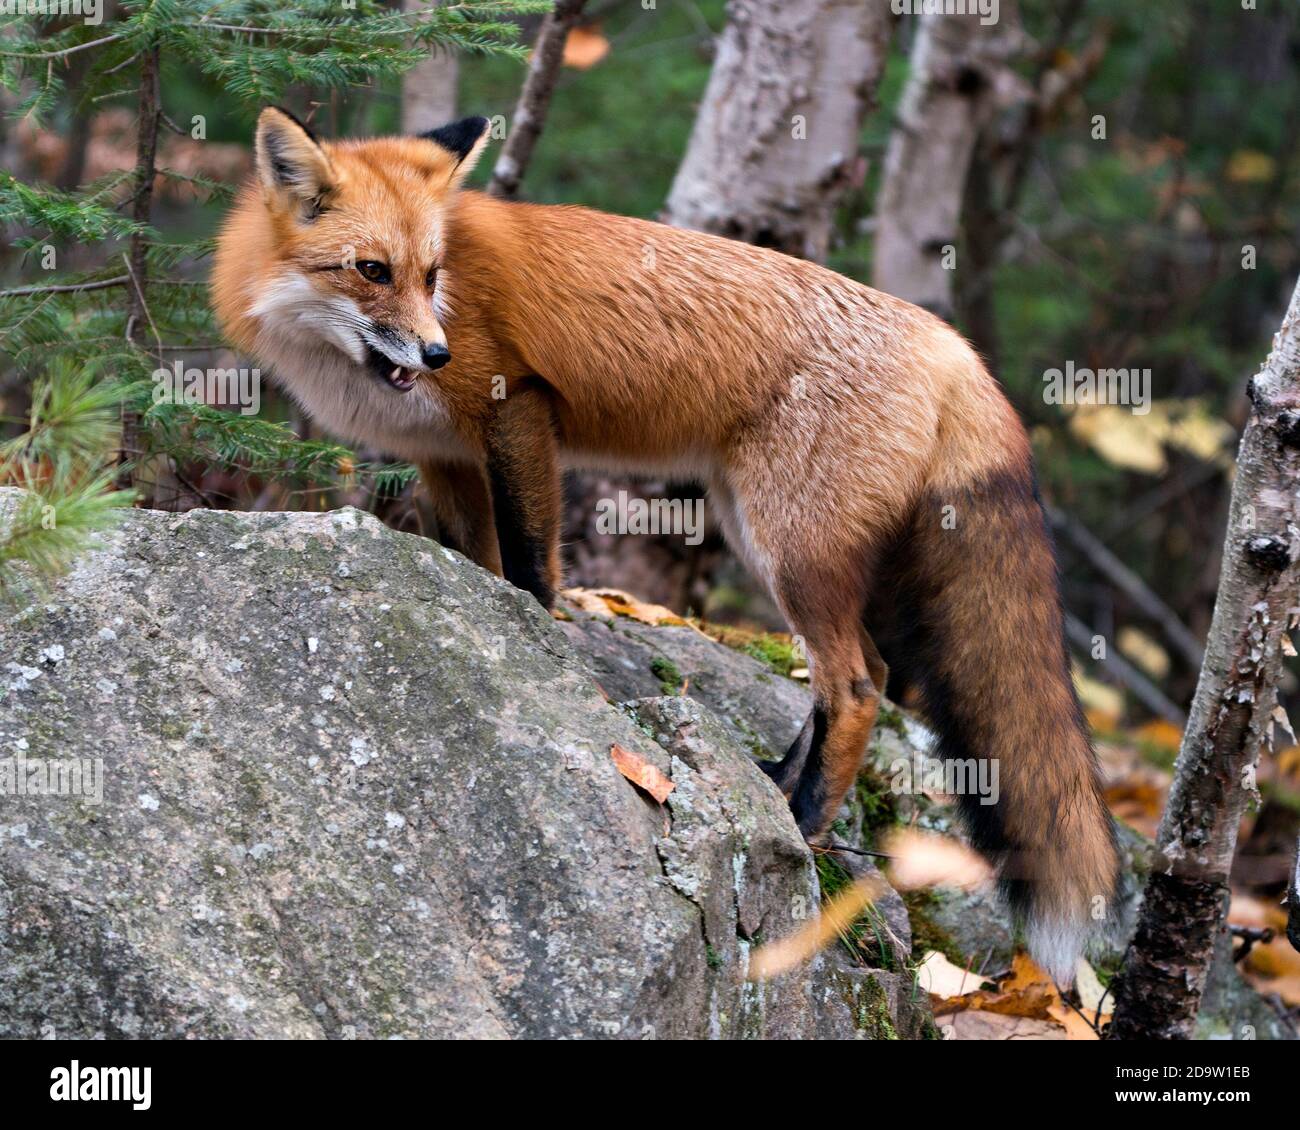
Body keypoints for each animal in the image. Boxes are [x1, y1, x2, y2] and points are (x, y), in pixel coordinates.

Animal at [211, 108, 1118, 982]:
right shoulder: (447, 461)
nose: (435, 351)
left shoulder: (516, 409)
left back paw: (800, 825)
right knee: (868, 670)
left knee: (859, 687)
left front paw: (534, 645)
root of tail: (953, 344)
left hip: (790, 548)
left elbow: (531, 570)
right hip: (758, 532)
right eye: (372, 270)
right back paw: (777, 786)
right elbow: (478, 563)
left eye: (432, 275)